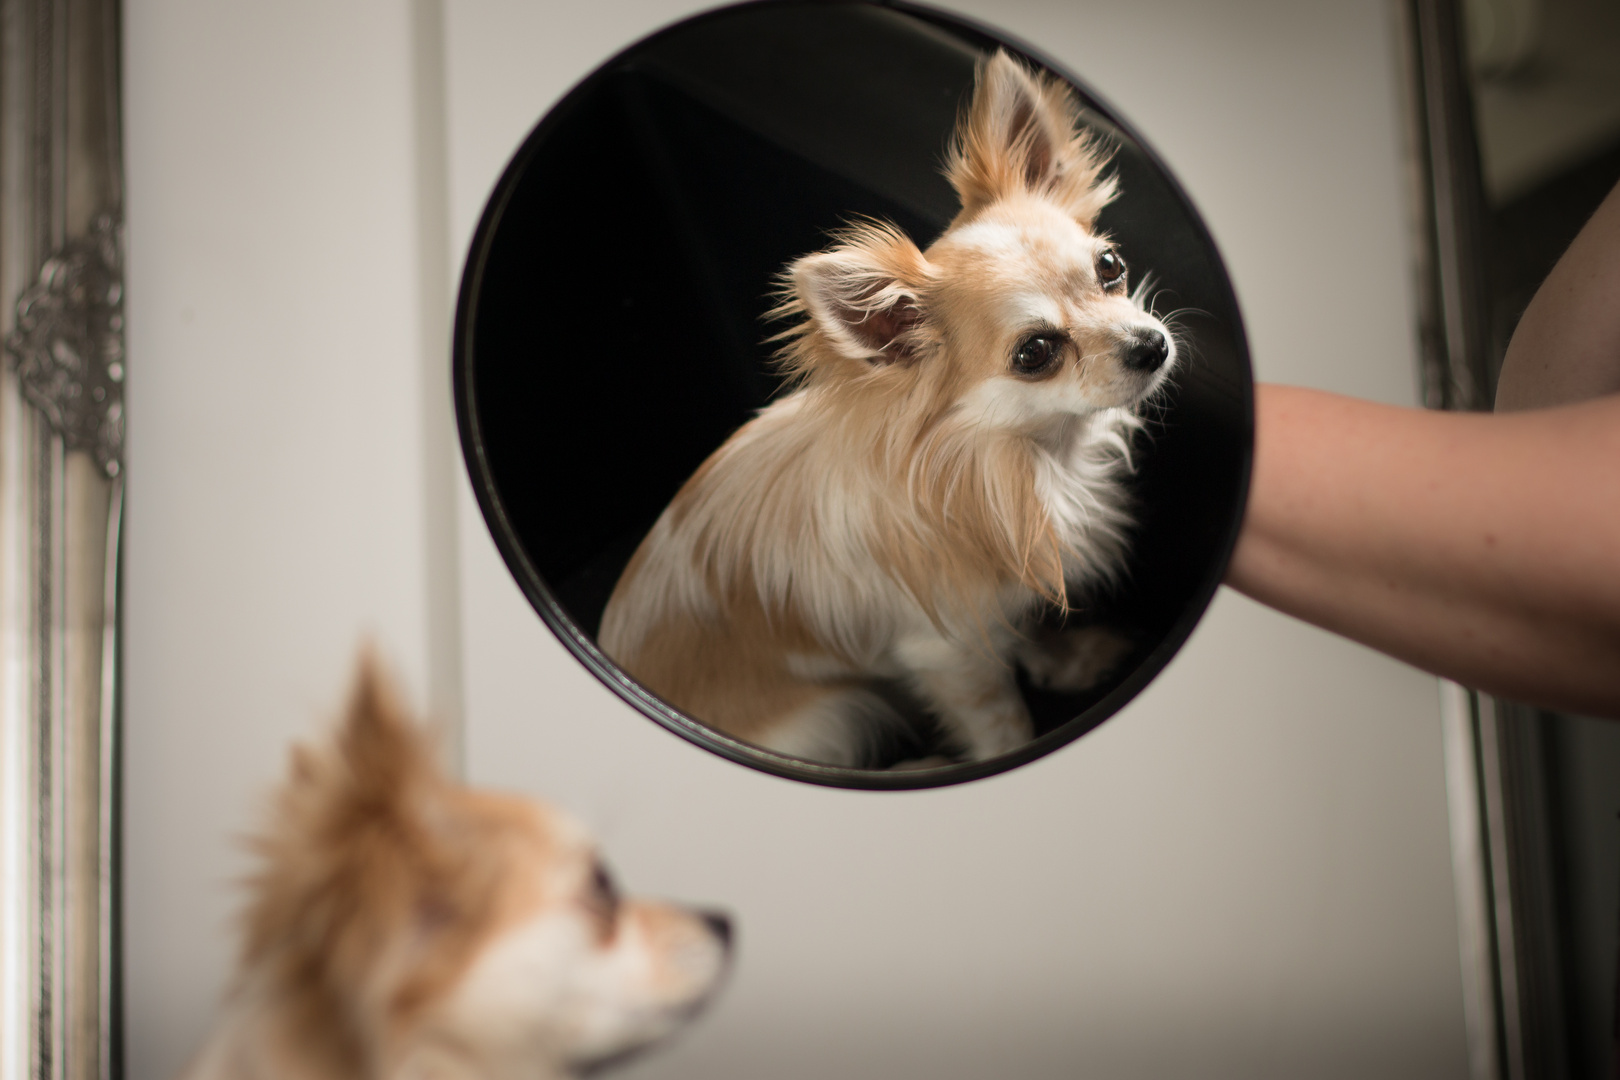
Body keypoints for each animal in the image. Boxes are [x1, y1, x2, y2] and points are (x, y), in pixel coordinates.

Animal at [599, 48, 1179, 767]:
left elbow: (1025, 623)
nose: (1152, 346)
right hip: (836, 715)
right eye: (1036, 352)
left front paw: (1062, 660)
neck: (1032, 457)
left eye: (1110, 267)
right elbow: (1002, 721)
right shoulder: (948, 653)